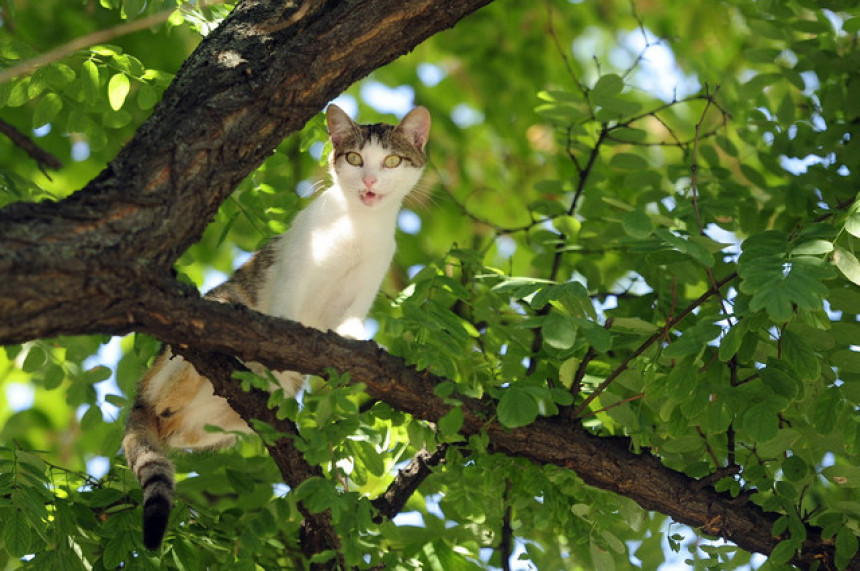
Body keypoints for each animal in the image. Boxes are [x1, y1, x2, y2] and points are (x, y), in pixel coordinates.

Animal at [122, 105, 430, 552]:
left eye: (391, 162)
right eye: (355, 159)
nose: (370, 181)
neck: (358, 227)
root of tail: (140, 400)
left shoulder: (361, 291)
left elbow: (350, 322)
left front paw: (361, 344)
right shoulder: (295, 269)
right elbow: (284, 315)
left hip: (222, 423)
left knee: (182, 430)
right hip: (195, 332)